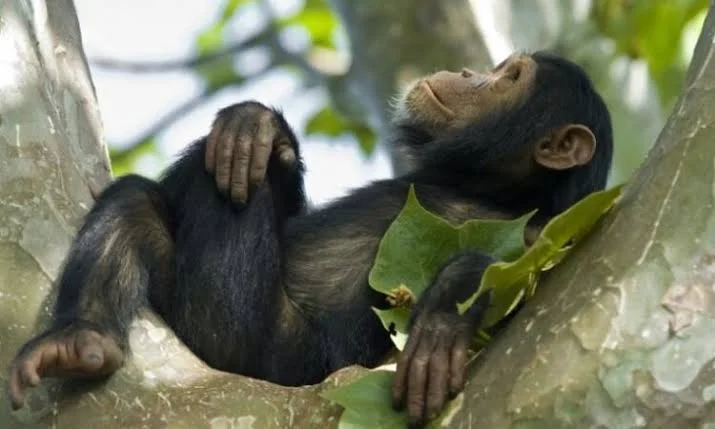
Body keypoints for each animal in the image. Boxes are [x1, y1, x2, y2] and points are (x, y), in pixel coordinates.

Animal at [8, 51, 612, 427]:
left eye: (511, 78)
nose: (471, 70)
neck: (485, 187)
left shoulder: (546, 232)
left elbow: (522, 278)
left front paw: (444, 322)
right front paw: (256, 126)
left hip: (249, 339)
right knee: (139, 201)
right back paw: (80, 339)